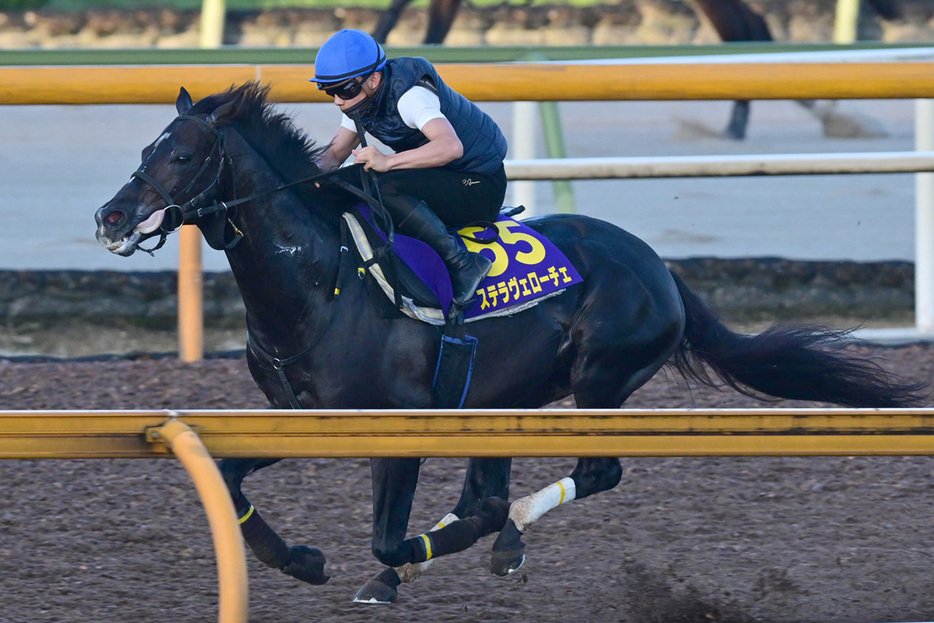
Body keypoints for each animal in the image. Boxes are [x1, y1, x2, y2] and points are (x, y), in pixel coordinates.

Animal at [95, 83, 928, 604]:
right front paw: (299, 558)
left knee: (592, 473)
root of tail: (658, 265)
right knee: (496, 485)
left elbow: (389, 539)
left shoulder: (400, 421)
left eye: (182, 154)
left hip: (600, 377)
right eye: (145, 148)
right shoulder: (305, 414)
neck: (320, 283)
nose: (111, 215)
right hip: (506, 393)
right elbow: (230, 477)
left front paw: (409, 559)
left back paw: (506, 535)